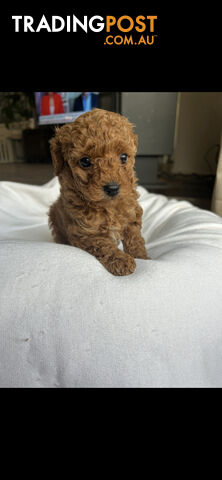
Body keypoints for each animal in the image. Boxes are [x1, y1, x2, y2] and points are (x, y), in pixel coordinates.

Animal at [48, 107, 149, 276]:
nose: (112, 188)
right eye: (85, 161)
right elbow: (104, 245)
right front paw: (121, 261)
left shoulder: (132, 216)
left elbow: (135, 239)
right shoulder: (85, 233)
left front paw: (143, 258)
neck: (108, 207)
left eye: (123, 157)